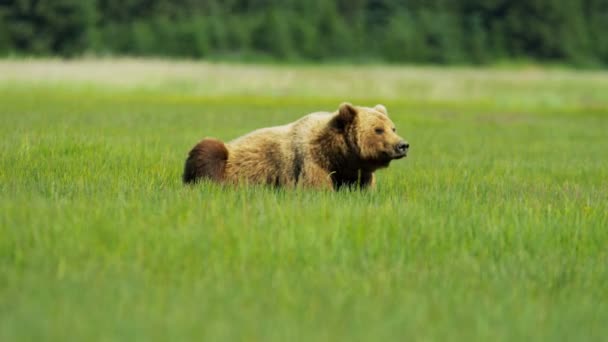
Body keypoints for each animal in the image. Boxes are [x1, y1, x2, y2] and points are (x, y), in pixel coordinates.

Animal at [180, 103, 408, 191]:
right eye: (378, 130)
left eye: (393, 127)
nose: (403, 145)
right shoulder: (310, 162)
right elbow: (315, 188)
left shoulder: (357, 172)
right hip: (227, 158)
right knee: (208, 151)